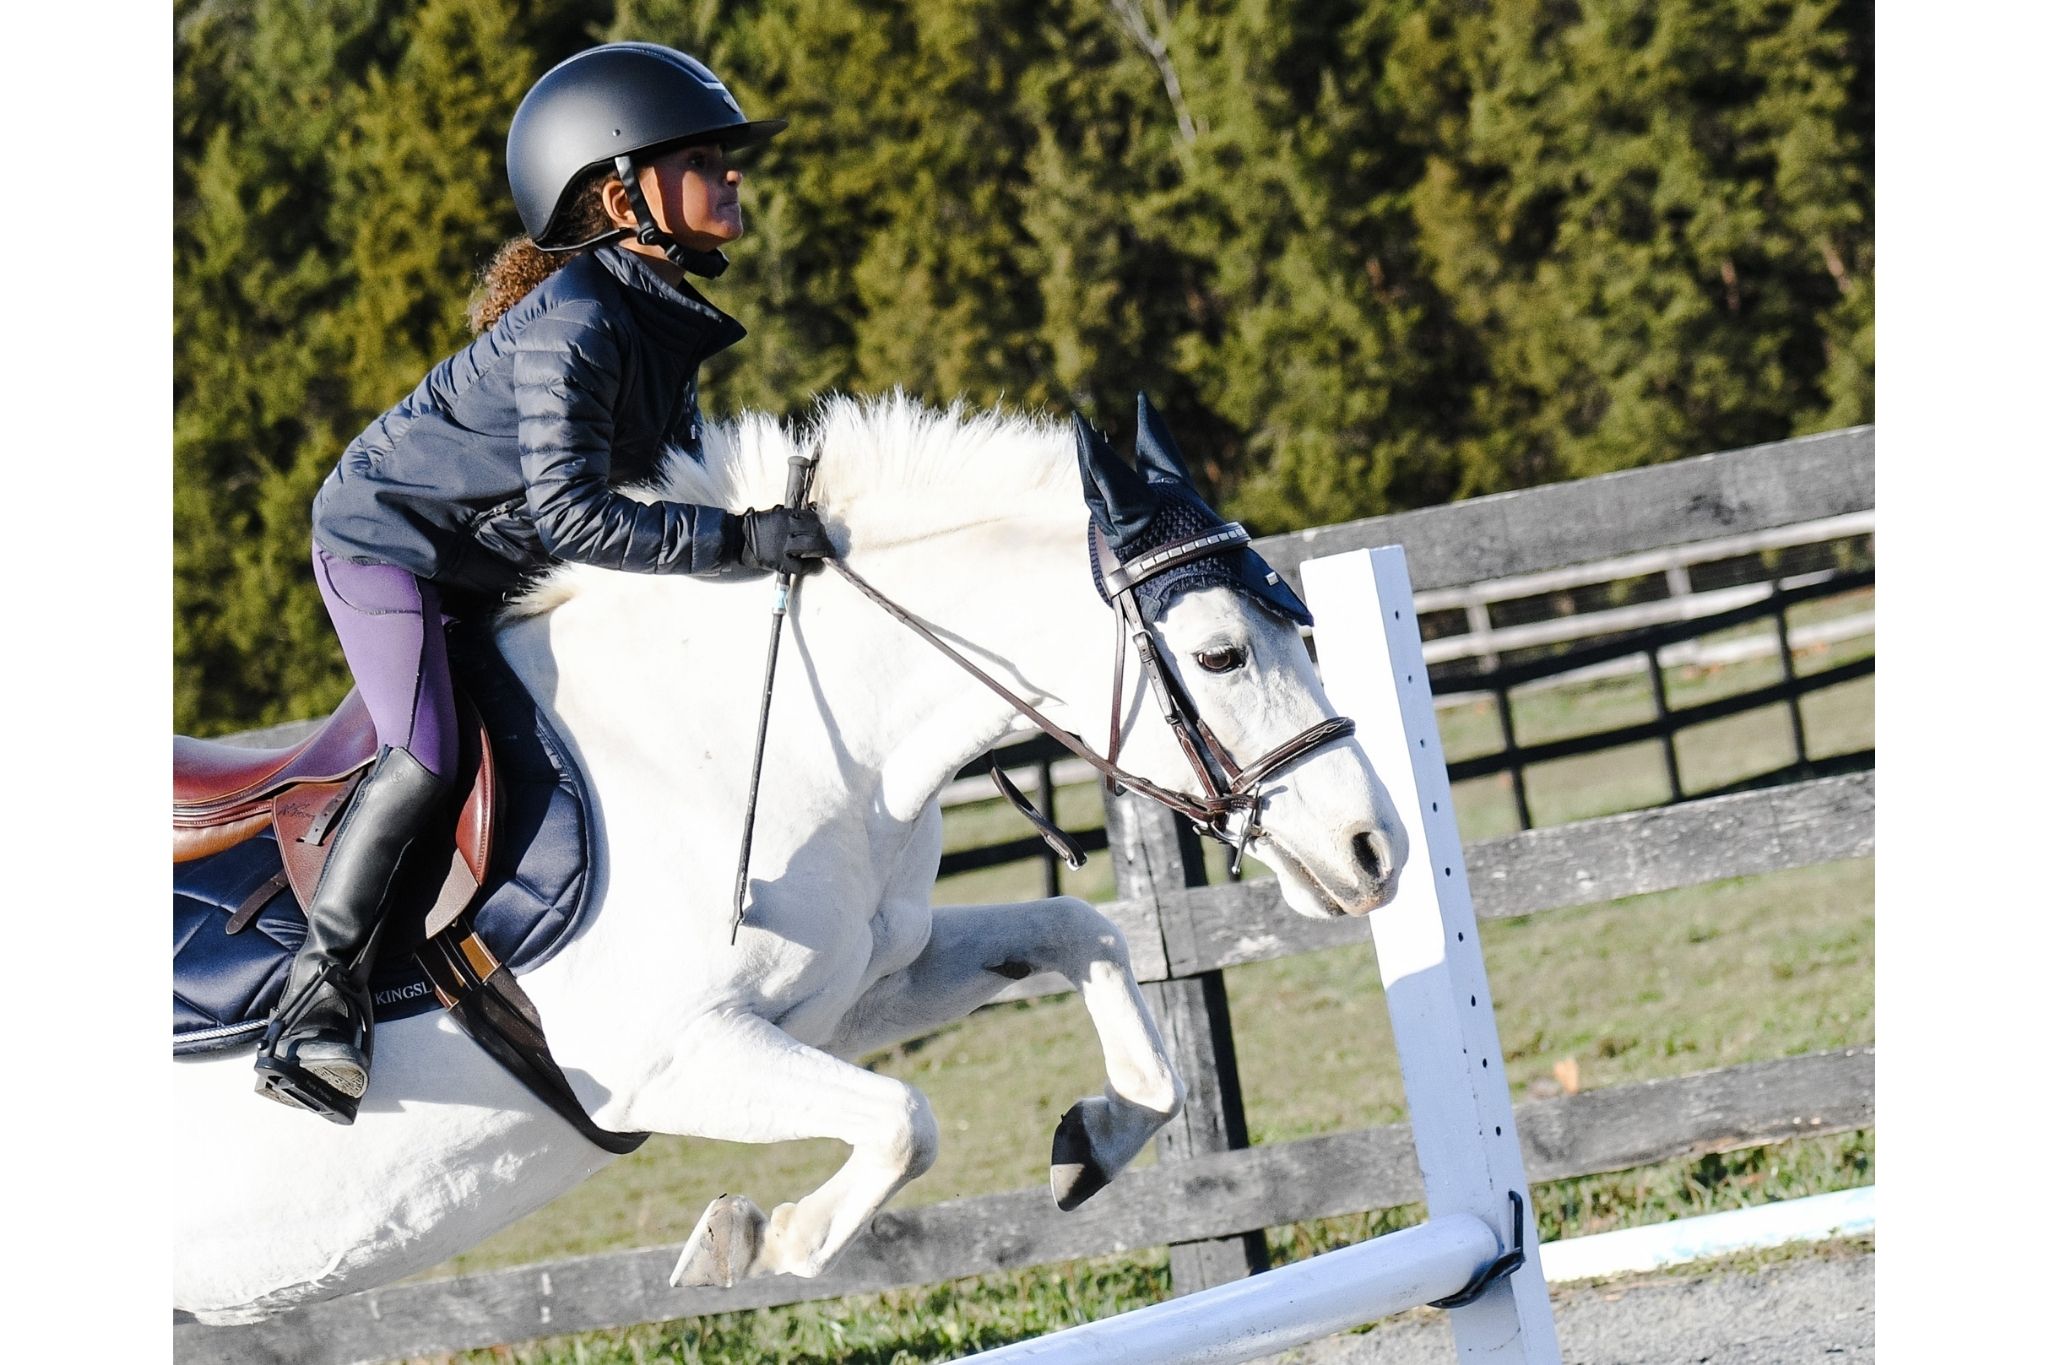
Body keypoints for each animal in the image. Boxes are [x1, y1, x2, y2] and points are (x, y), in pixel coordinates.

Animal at [173, 392, 1407, 1324]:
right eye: (1221, 652)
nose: (1376, 850)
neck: (736, 737)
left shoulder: (845, 995)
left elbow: (1082, 933)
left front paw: (1091, 1143)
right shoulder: (671, 1059)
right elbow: (906, 1118)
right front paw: (756, 1240)